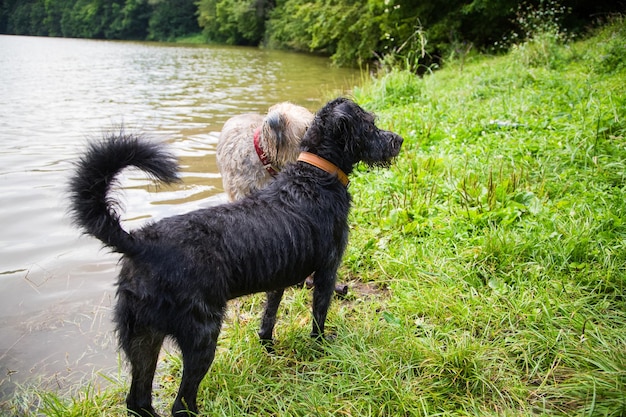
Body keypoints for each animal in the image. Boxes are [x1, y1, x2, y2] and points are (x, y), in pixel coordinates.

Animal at [67, 96, 400, 414]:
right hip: (201, 335)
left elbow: (268, 316)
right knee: (181, 404)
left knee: (138, 401)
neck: (314, 175)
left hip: (143, 338)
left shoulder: (278, 277)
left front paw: (268, 346)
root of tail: (139, 243)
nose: (398, 140)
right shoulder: (327, 271)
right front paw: (321, 346)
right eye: (370, 125)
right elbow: (319, 316)